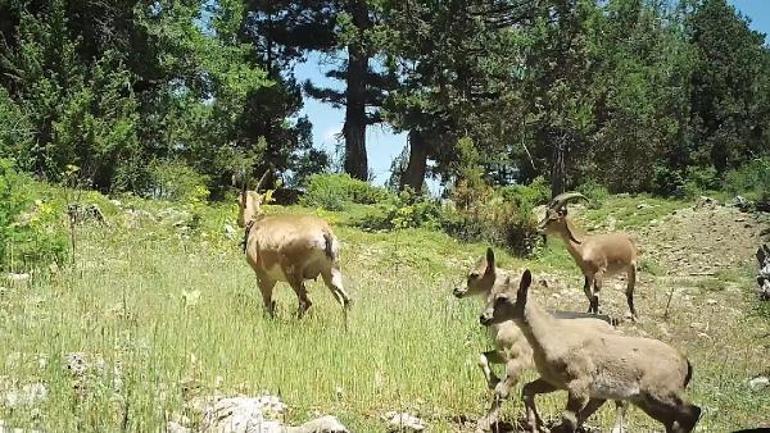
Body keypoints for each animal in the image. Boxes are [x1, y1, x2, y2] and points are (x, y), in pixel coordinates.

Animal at [456, 248, 624, 430]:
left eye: (474, 274)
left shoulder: (519, 359)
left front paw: (484, 422)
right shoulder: (504, 354)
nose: (457, 290)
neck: (508, 326)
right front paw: (493, 381)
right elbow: (482, 358)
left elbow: (503, 390)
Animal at [480, 270, 704, 432]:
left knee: (692, 411)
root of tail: (685, 363)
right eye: (492, 294)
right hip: (646, 400)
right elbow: (528, 390)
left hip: (661, 391)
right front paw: (536, 426)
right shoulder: (555, 381)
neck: (553, 336)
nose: (483, 317)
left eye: (503, 298)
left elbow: (569, 419)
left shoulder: (579, 384)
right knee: (675, 418)